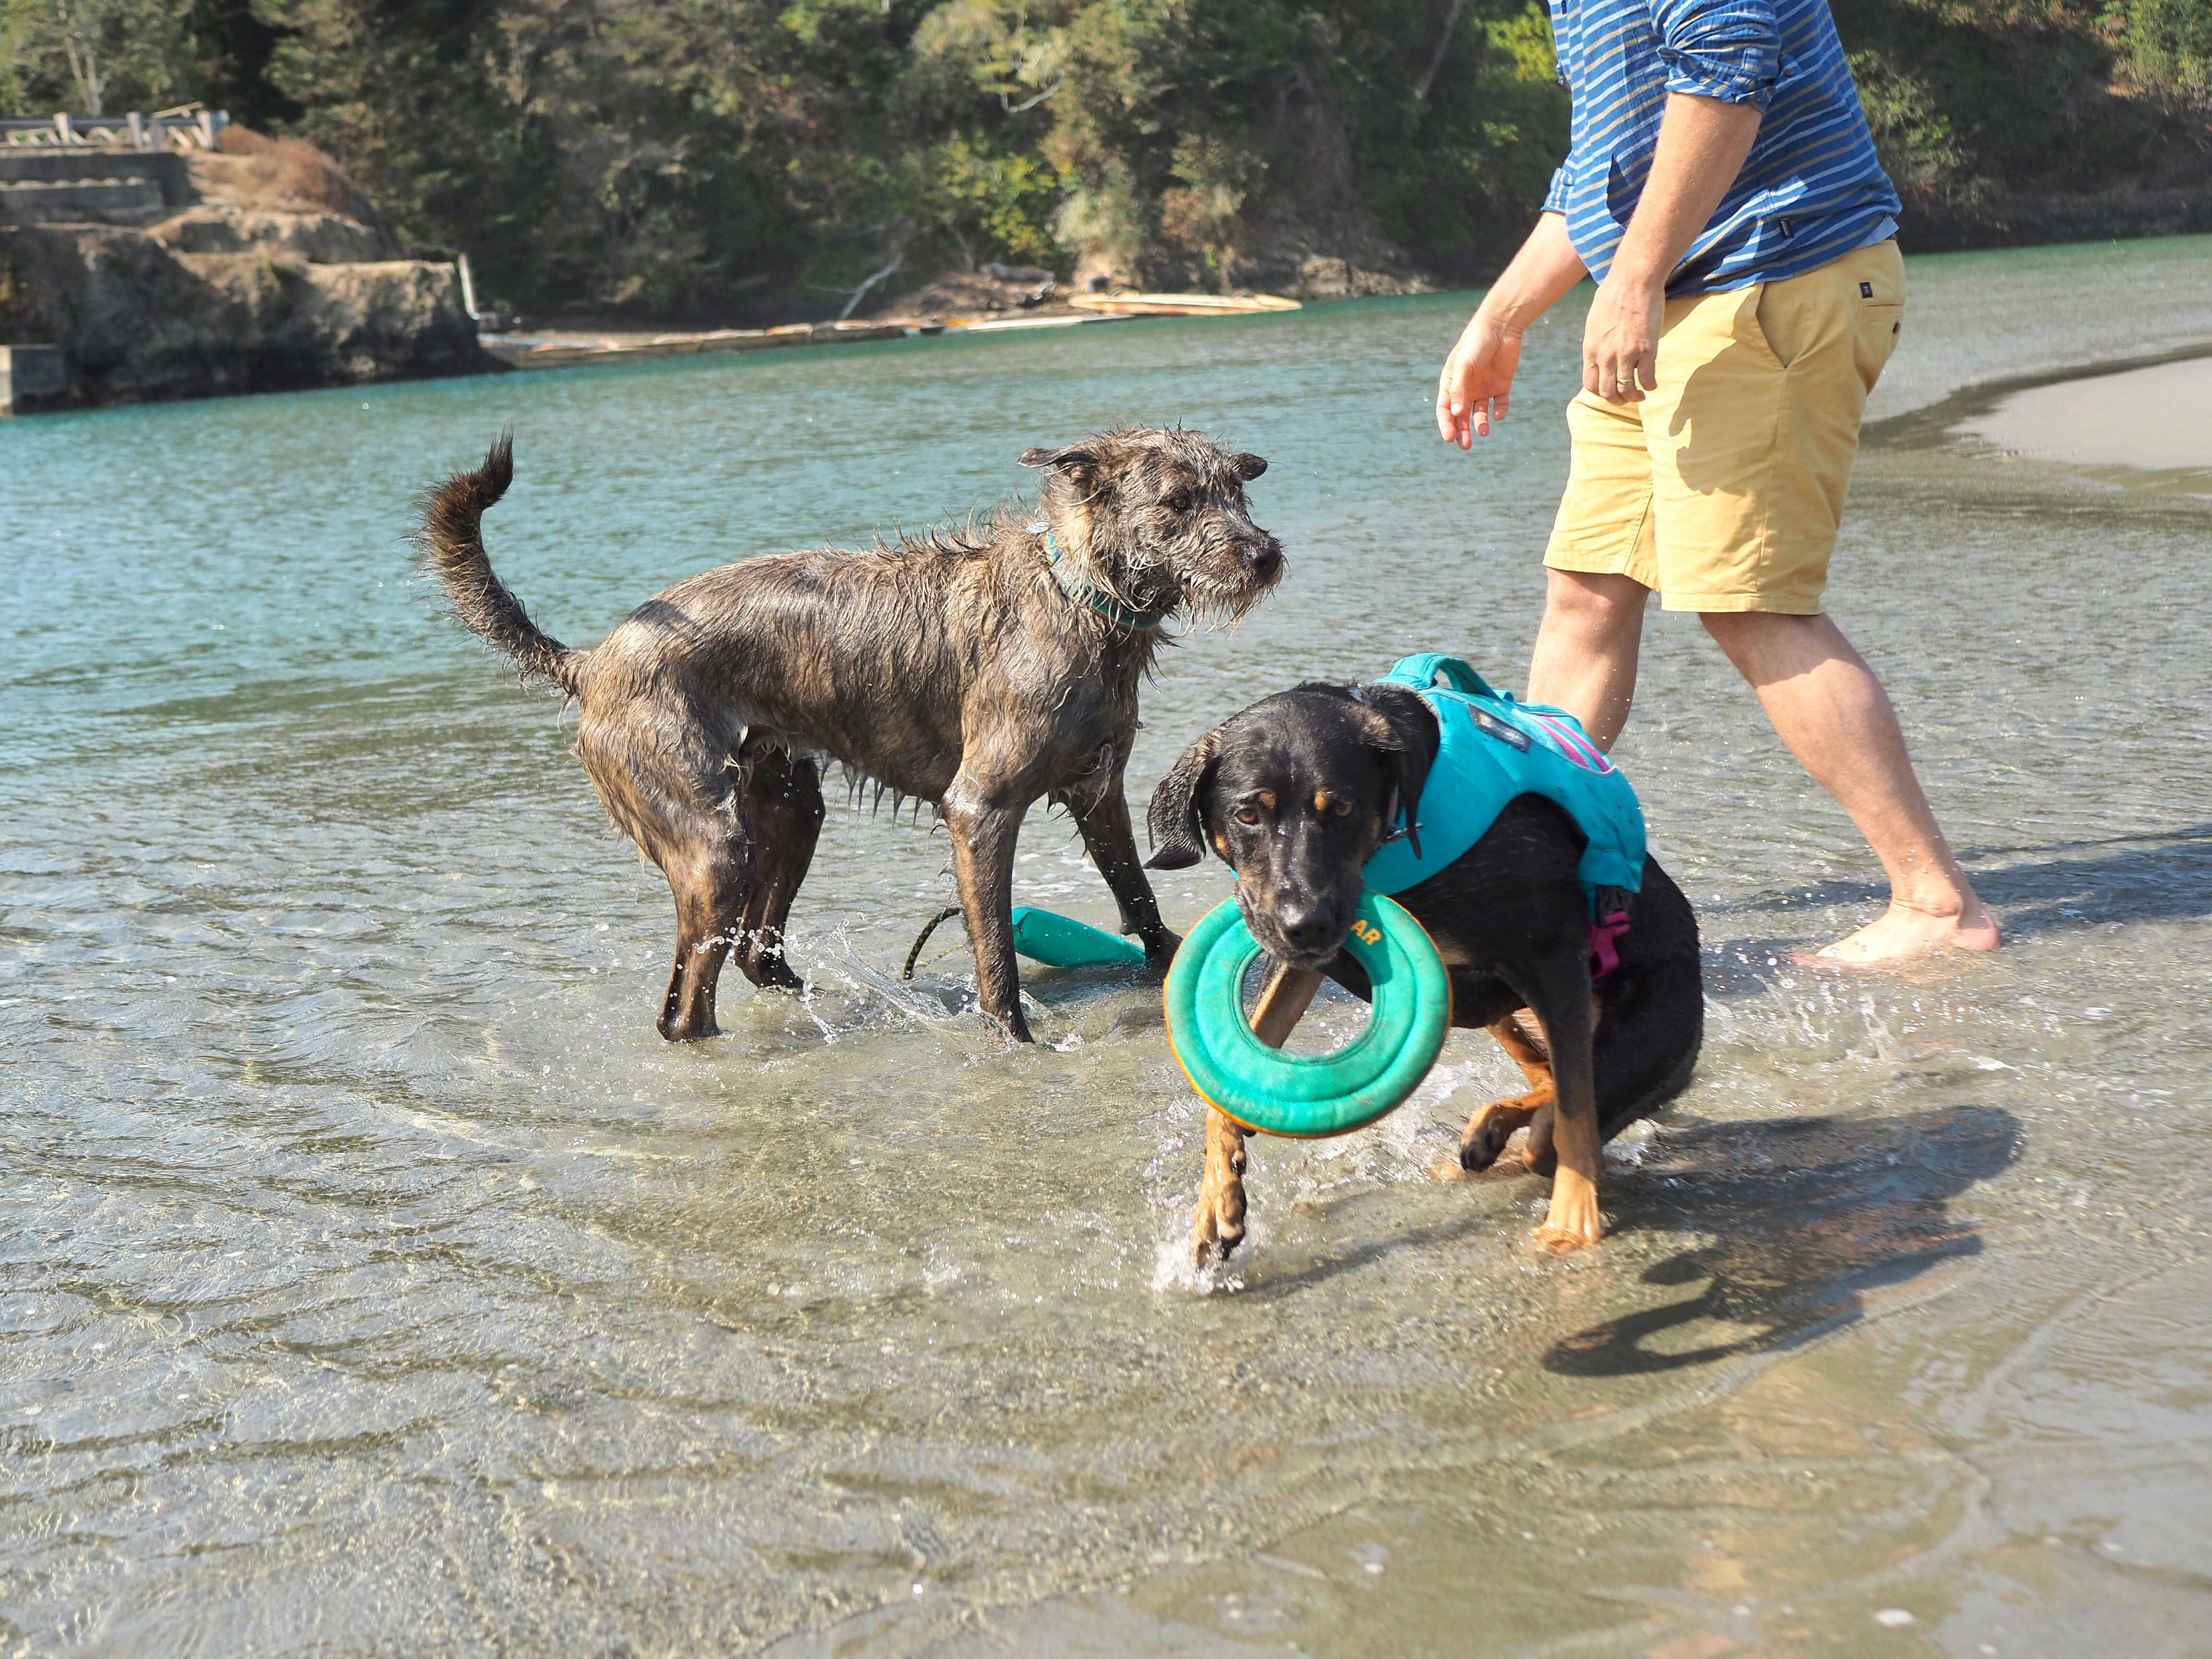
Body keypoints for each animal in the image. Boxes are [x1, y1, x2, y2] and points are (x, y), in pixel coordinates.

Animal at [418, 435, 1283, 1044]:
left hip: (790, 807)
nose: (1264, 555)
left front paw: (1172, 970)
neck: (1079, 596)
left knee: (756, 954)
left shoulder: (1098, 794)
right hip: (710, 844)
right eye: (1176, 502)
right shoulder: (980, 810)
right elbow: (997, 957)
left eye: (1237, 492)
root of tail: (593, 660)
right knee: (685, 1008)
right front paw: (1014, 1040)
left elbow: (1138, 898)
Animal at [1150, 677, 1698, 1256]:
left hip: (1642, 1037)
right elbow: (1234, 1070)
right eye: (1248, 815)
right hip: (1496, 1009)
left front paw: (1571, 1223)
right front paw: (1217, 1200)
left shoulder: (1555, 950)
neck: (1399, 829)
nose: (1307, 925)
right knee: (1543, 1077)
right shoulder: (1307, 955)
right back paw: (1486, 1137)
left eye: (1341, 810)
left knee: (1555, 1122)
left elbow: (1575, 1114)